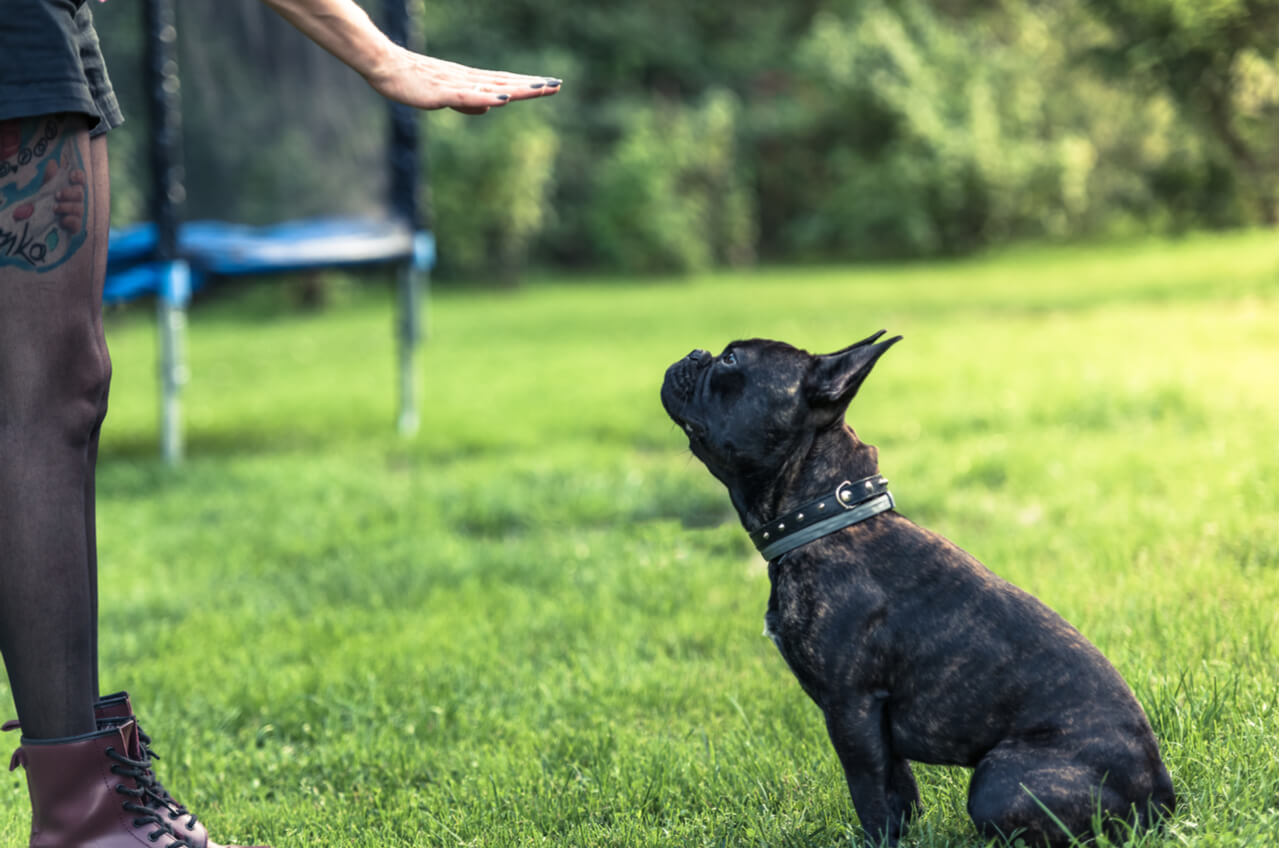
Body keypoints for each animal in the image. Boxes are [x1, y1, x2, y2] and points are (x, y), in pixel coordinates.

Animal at [665, 333, 1172, 848]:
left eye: (731, 360)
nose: (695, 354)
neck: (826, 518)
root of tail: (1159, 803)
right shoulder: (877, 728)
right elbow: (899, 791)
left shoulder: (852, 708)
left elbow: (869, 793)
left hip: (997, 782)